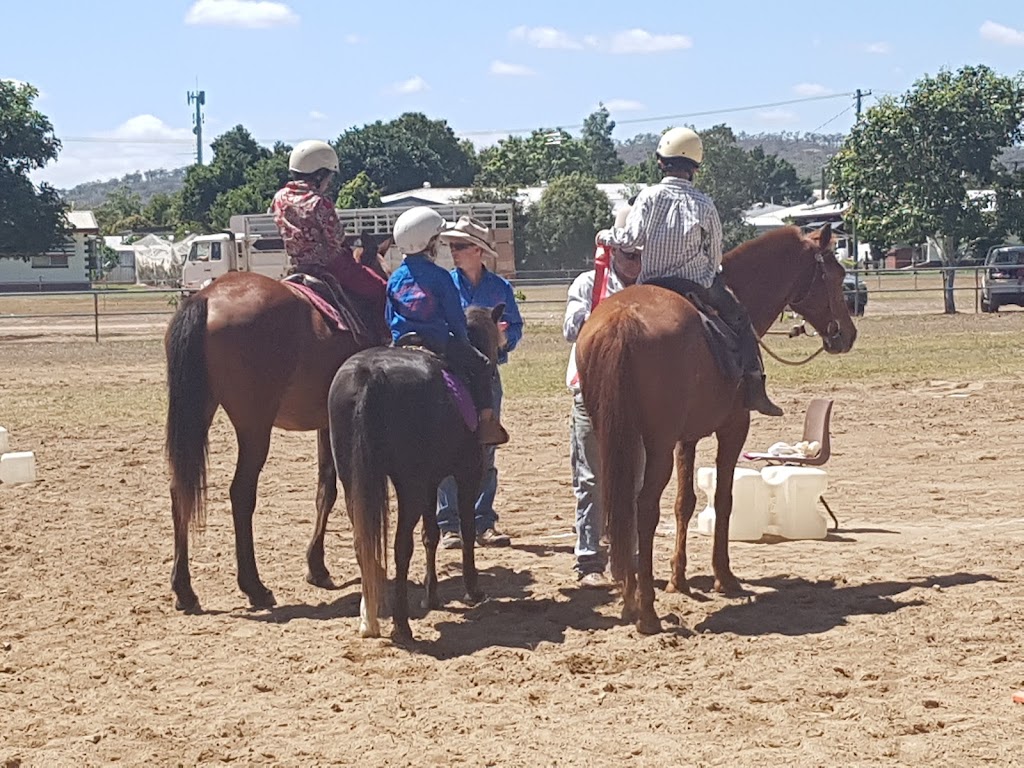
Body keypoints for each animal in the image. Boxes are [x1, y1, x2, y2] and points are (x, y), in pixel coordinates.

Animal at [165, 270, 374, 614]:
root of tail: (206, 298)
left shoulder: (326, 424)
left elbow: (325, 489)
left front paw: (317, 566)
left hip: (199, 412)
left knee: (179, 488)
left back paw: (184, 590)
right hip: (254, 427)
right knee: (241, 493)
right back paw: (255, 587)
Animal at [327, 303, 503, 638]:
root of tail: (369, 374)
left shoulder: (431, 481)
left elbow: (430, 535)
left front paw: (431, 595)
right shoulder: (466, 474)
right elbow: (466, 528)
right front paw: (472, 590)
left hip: (352, 481)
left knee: (362, 542)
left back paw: (369, 617)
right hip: (409, 486)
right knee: (400, 547)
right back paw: (400, 624)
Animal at [577, 225, 856, 634]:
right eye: (835, 276)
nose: (847, 335)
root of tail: (622, 320)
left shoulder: (686, 438)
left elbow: (685, 502)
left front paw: (679, 580)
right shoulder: (733, 428)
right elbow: (724, 499)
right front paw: (725, 577)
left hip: (616, 438)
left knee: (621, 506)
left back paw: (630, 600)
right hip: (655, 444)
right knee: (644, 509)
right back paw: (646, 612)